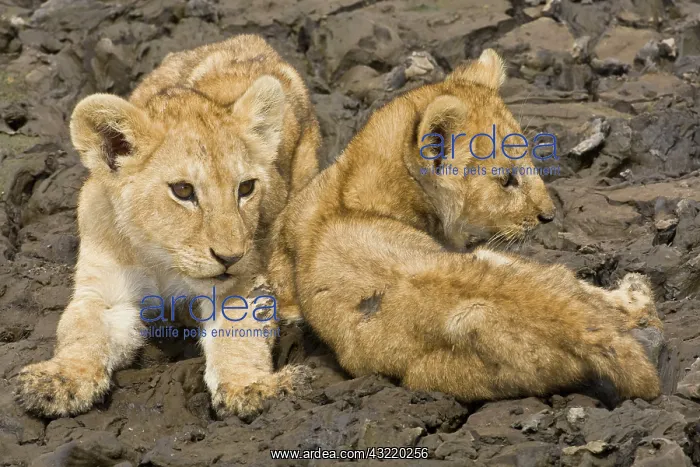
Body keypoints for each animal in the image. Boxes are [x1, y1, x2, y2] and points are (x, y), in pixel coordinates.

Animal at [15, 35, 320, 420]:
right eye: (183, 191)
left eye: (246, 188)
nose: (231, 257)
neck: (161, 258)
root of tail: (249, 39)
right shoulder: (105, 289)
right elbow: (83, 330)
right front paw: (59, 379)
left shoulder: (243, 285)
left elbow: (239, 338)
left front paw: (251, 387)